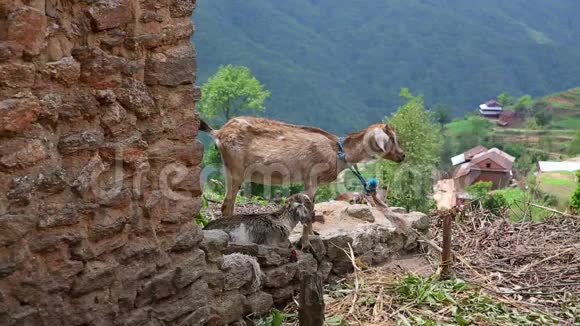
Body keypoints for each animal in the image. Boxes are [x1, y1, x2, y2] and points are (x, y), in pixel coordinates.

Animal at [199, 117, 404, 247]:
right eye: (392, 138)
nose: (402, 155)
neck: (339, 153)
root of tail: (218, 133)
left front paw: (313, 235)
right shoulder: (311, 179)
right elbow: (310, 209)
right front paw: (305, 243)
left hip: (228, 170)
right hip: (236, 170)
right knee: (227, 205)